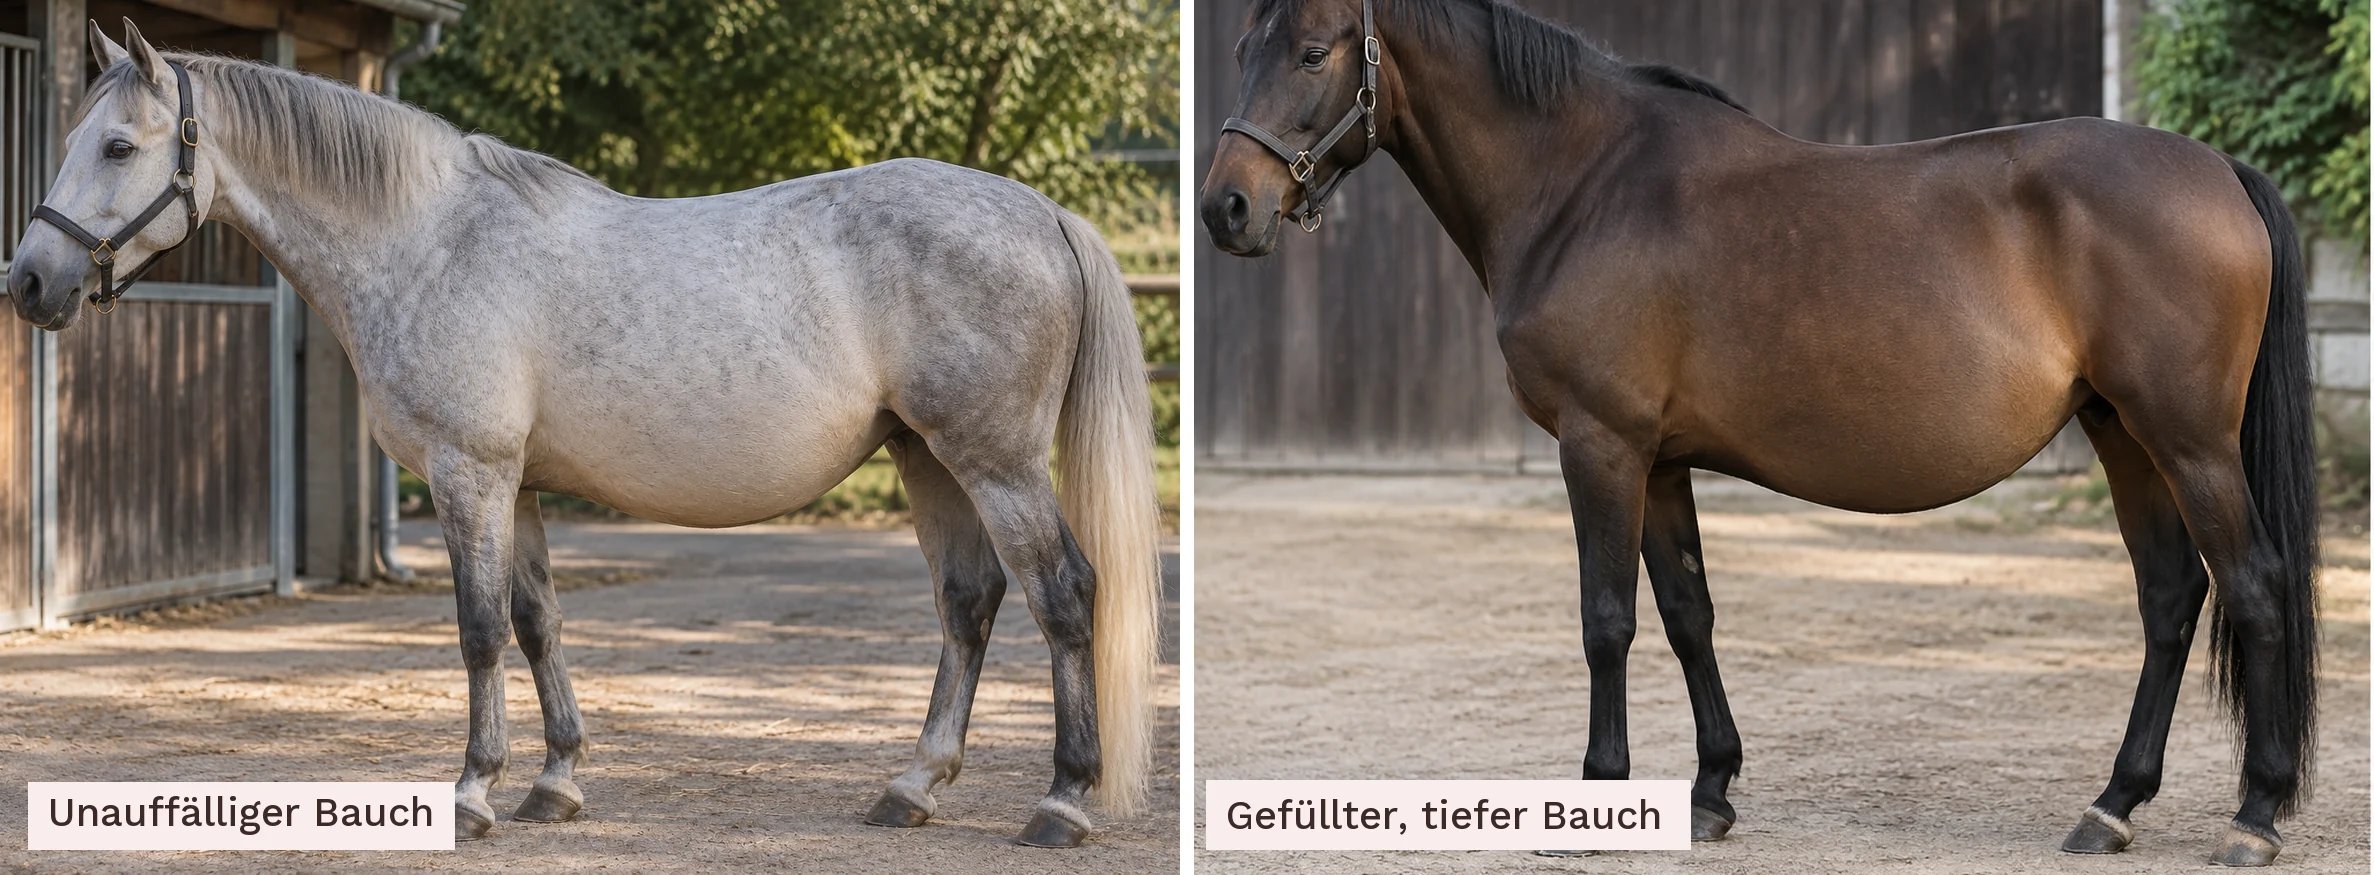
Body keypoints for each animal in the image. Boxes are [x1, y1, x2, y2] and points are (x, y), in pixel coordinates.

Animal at [9, 21, 1162, 849]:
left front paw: (471, 792)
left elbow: (476, 630)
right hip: (928, 459)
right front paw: (555, 781)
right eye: (69, 141)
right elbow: (536, 623)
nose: (28, 282)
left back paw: (1061, 802)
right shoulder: (514, 485)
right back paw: (911, 786)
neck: (423, 239)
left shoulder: (468, 473)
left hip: (994, 462)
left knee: (1065, 594)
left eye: (118, 145)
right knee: (969, 605)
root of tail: (1042, 214)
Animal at [1200, 0, 2319, 865]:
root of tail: (2217, 169)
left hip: (2188, 442)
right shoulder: (1659, 463)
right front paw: (1708, 793)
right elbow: (1688, 613)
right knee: (2170, 598)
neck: (1582, 185)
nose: (1227, 209)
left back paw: (2255, 816)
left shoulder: (1599, 445)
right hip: (2124, 435)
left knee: (2254, 586)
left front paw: (1600, 795)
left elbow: (1606, 619)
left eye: (1313, 51)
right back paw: (2111, 806)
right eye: (1242, 45)